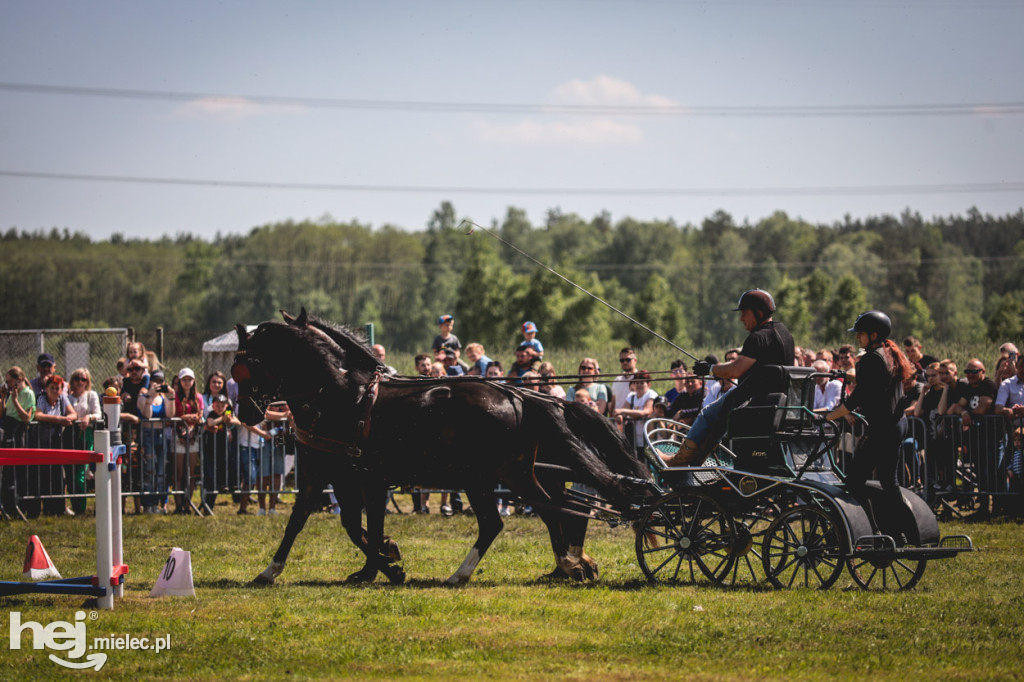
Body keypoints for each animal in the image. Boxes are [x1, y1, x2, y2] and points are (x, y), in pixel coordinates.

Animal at [231, 311, 647, 581]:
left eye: (248, 365)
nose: (245, 412)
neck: (339, 396)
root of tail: (519, 397)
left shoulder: (356, 476)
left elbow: (337, 524)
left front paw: (384, 567)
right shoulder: (337, 474)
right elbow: (336, 522)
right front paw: (379, 563)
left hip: (493, 476)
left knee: (532, 513)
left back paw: (554, 565)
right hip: (502, 474)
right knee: (544, 511)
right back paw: (561, 565)